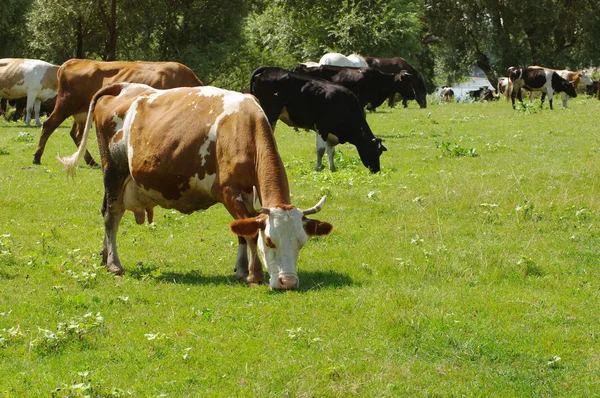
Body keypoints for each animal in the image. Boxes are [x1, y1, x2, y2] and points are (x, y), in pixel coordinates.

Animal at [34, 58, 204, 166]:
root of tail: (71, 62)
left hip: (82, 111)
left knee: (77, 133)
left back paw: (91, 161)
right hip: (66, 104)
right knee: (49, 125)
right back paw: (37, 157)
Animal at [57, 83, 332, 290]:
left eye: (301, 242)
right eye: (270, 240)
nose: (288, 282)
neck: (243, 127)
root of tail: (124, 87)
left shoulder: (245, 193)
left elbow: (242, 229)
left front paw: (242, 270)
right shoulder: (228, 192)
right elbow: (249, 231)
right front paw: (255, 275)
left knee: (107, 211)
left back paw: (104, 256)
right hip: (113, 170)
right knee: (111, 216)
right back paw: (114, 264)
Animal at [251, 66, 386, 173]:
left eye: (380, 152)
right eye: (375, 151)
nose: (376, 170)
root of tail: (268, 69)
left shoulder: (331, 133)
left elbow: (331, 151)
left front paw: (332, 168)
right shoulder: (322, 127)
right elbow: (321, 150)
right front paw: (318, 168)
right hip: (270, 114)